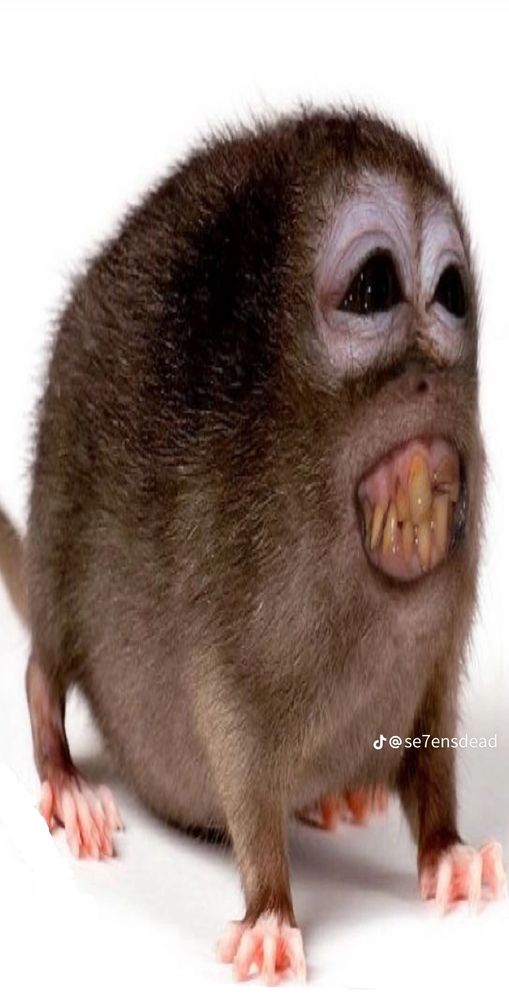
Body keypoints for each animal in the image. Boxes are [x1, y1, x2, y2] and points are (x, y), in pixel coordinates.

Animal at [0, 108, 505, 984]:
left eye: (449, 294)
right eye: (373, 289)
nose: (427, 380)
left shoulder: (439, 634)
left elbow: (431, 738)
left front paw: (446, 850)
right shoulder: (226, 558)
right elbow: (233, 741)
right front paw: (271, 906)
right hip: (59, 502)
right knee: (48, 657)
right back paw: (66, 777)